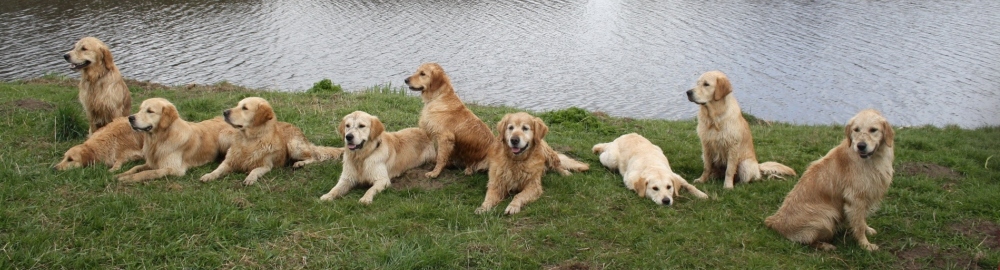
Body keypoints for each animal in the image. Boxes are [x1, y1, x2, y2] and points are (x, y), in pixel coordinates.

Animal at [199, 97, 344, 186]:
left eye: (244, 108)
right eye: (237, 105)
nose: (224, 112)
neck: (249, 141)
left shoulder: (265, 165)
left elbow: (254, 170)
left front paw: (250, 178)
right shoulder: (229, 161)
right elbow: (218, 169)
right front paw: (208, 175)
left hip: (294, 145)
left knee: (313, 156)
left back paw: (300, 163)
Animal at [764, 109, 900, 251]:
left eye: (873, 130)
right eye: (856, 129)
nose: (861, 146)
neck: (873, 158)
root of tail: (774, 222)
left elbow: (862, 220)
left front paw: (868, 230)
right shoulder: (855, 199)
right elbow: (859, 226)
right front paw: (865, 245)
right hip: (827, 215)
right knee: (809, 241)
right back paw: (826, 246)